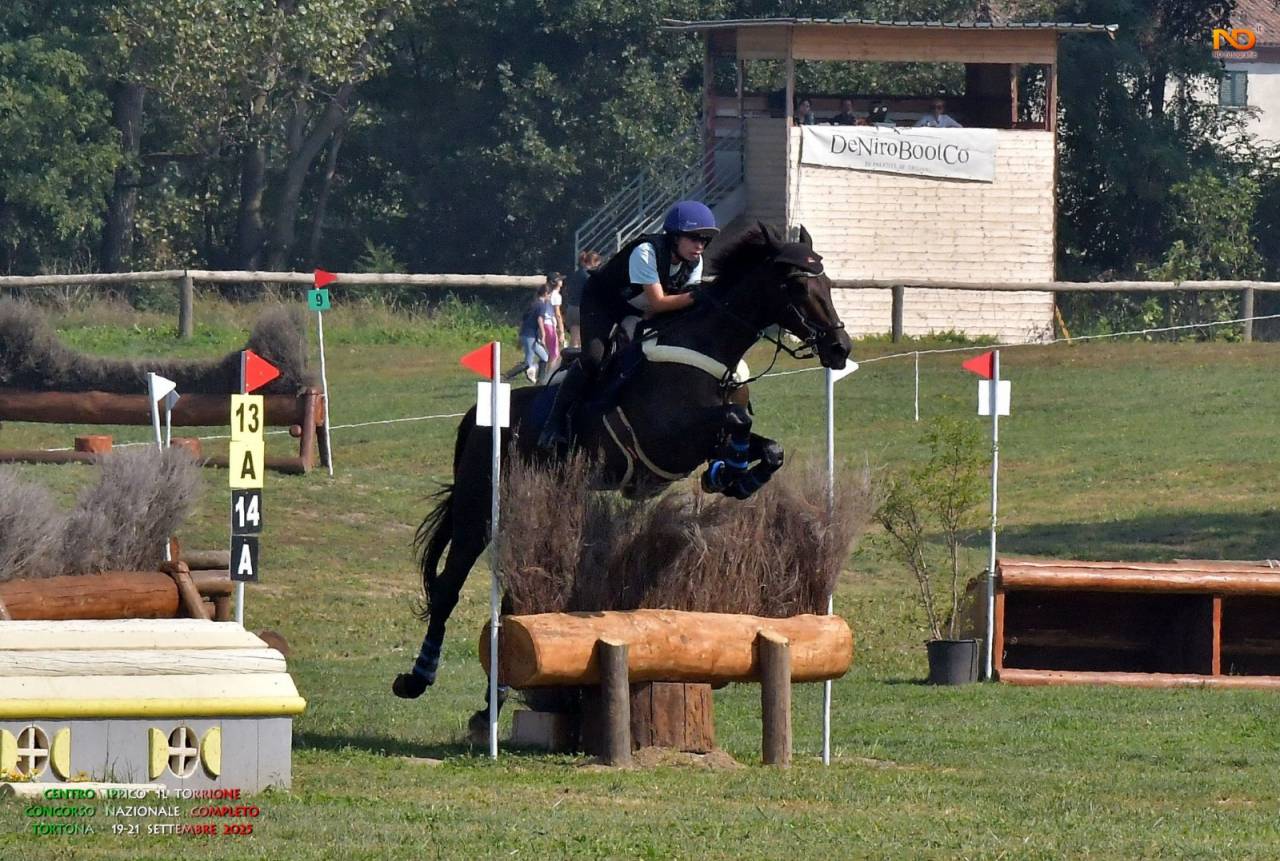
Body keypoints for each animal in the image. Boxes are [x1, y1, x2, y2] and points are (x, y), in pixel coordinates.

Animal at [391, 224, 854, 733]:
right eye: (797, 286)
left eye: (827, 282)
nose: (841, 349)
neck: (710, 352)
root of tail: (476, 416)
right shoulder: (667, 437)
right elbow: (735, 423)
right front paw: (727, 472)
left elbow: (767, 447)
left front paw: (733, 478)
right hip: (479, 507)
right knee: (447, 589)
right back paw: (418, 678)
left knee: (514, 600)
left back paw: (490, 704)